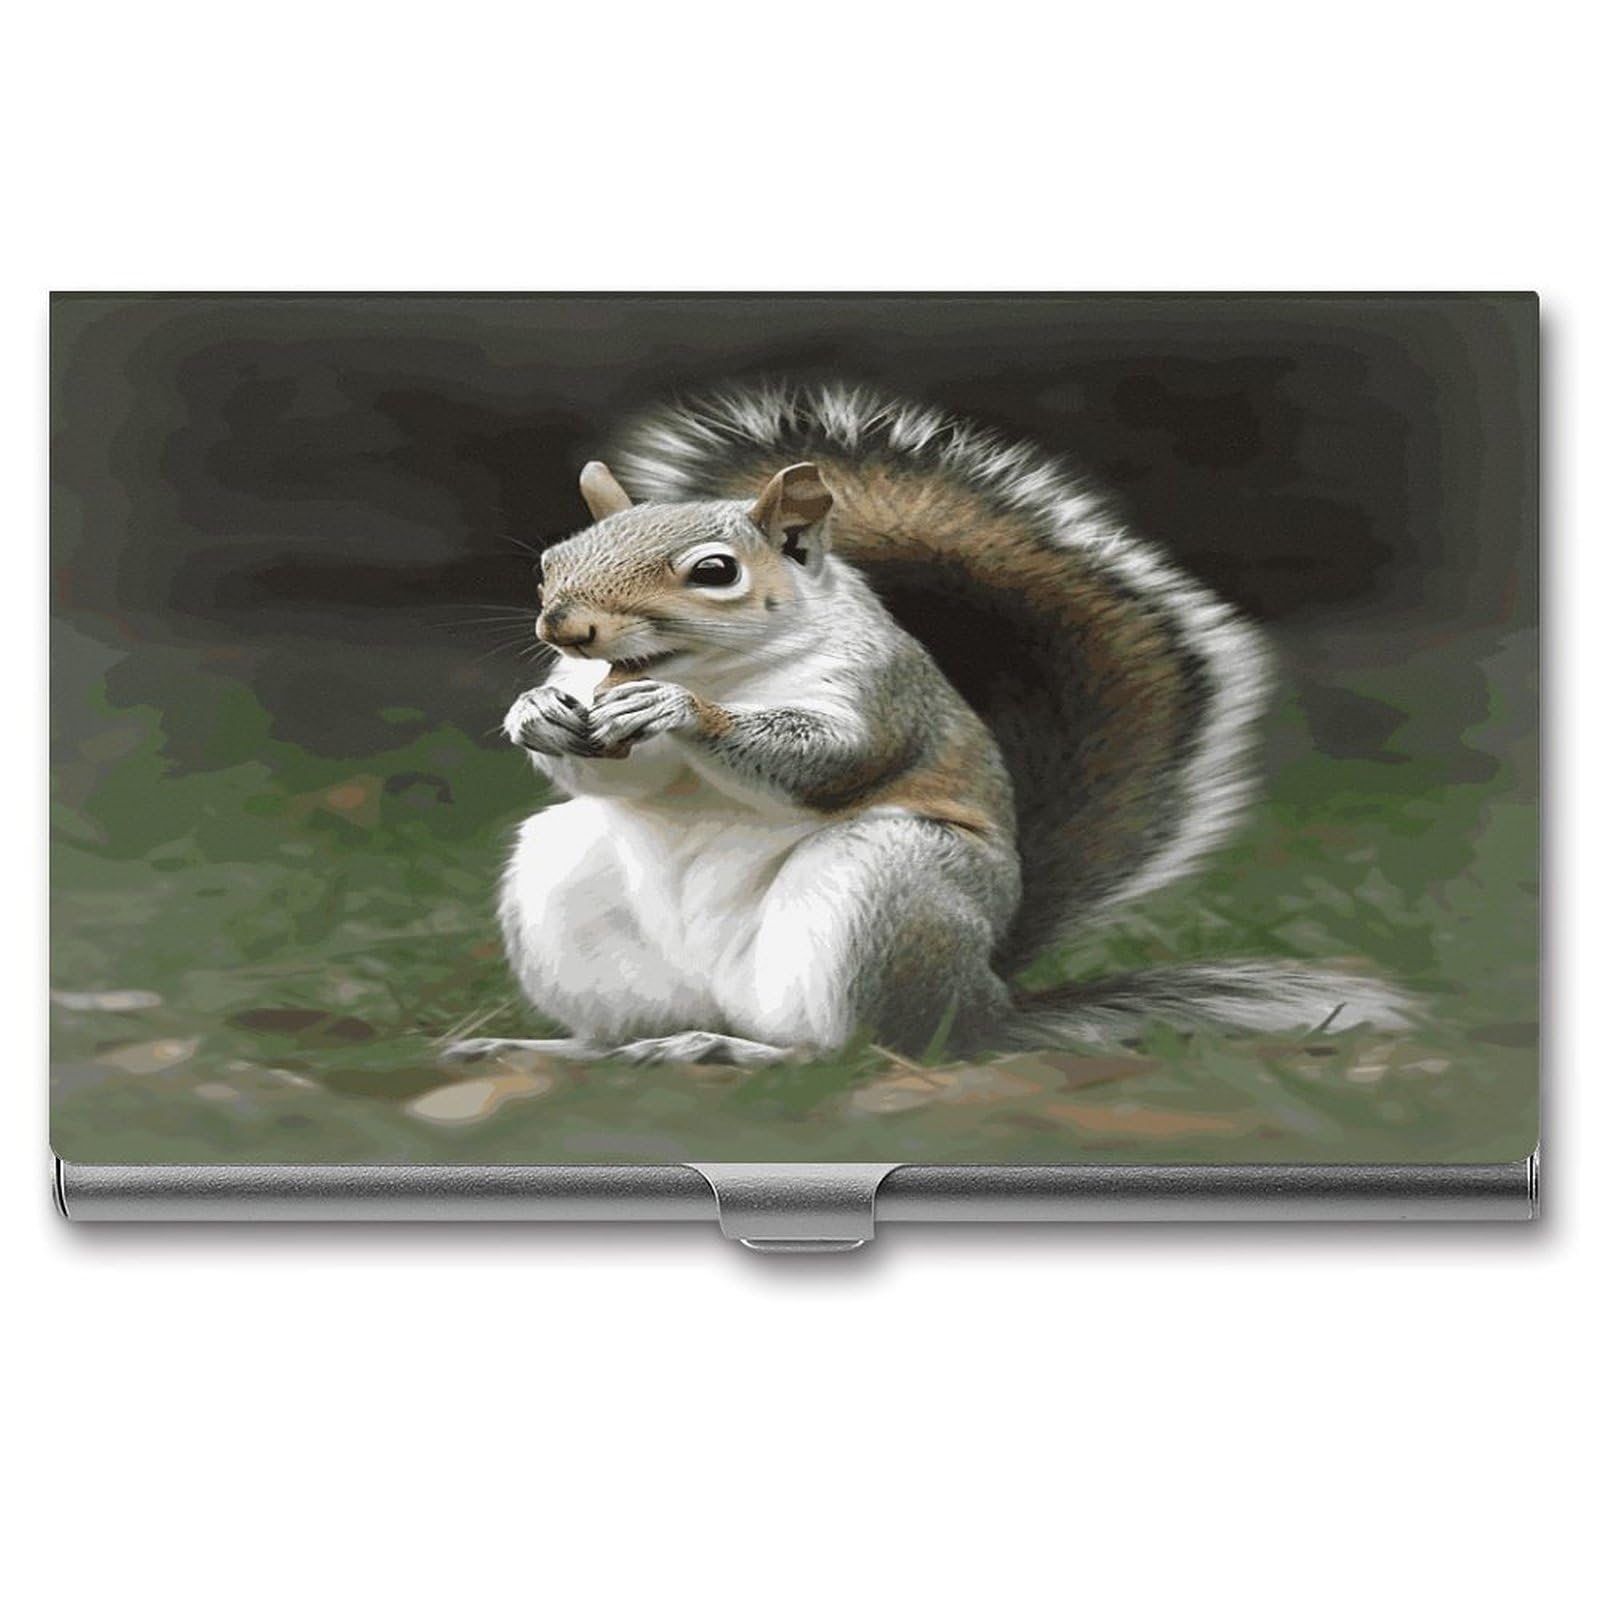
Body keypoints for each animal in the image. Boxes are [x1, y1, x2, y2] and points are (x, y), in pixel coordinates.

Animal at [446, 383, 1410, 1068]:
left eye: (715, 572)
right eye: (551, 561)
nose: (565, 629)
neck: (715, 668)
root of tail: (984, 1006)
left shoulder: (879, 693)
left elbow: (830, 759)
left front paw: (682, 713)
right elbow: (613, 769)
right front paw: (535, 712)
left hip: (892, 887)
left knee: (858, 1051)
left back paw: (732, 1050)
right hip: (571, 883)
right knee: (626, 1029)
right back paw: (557, 1047)